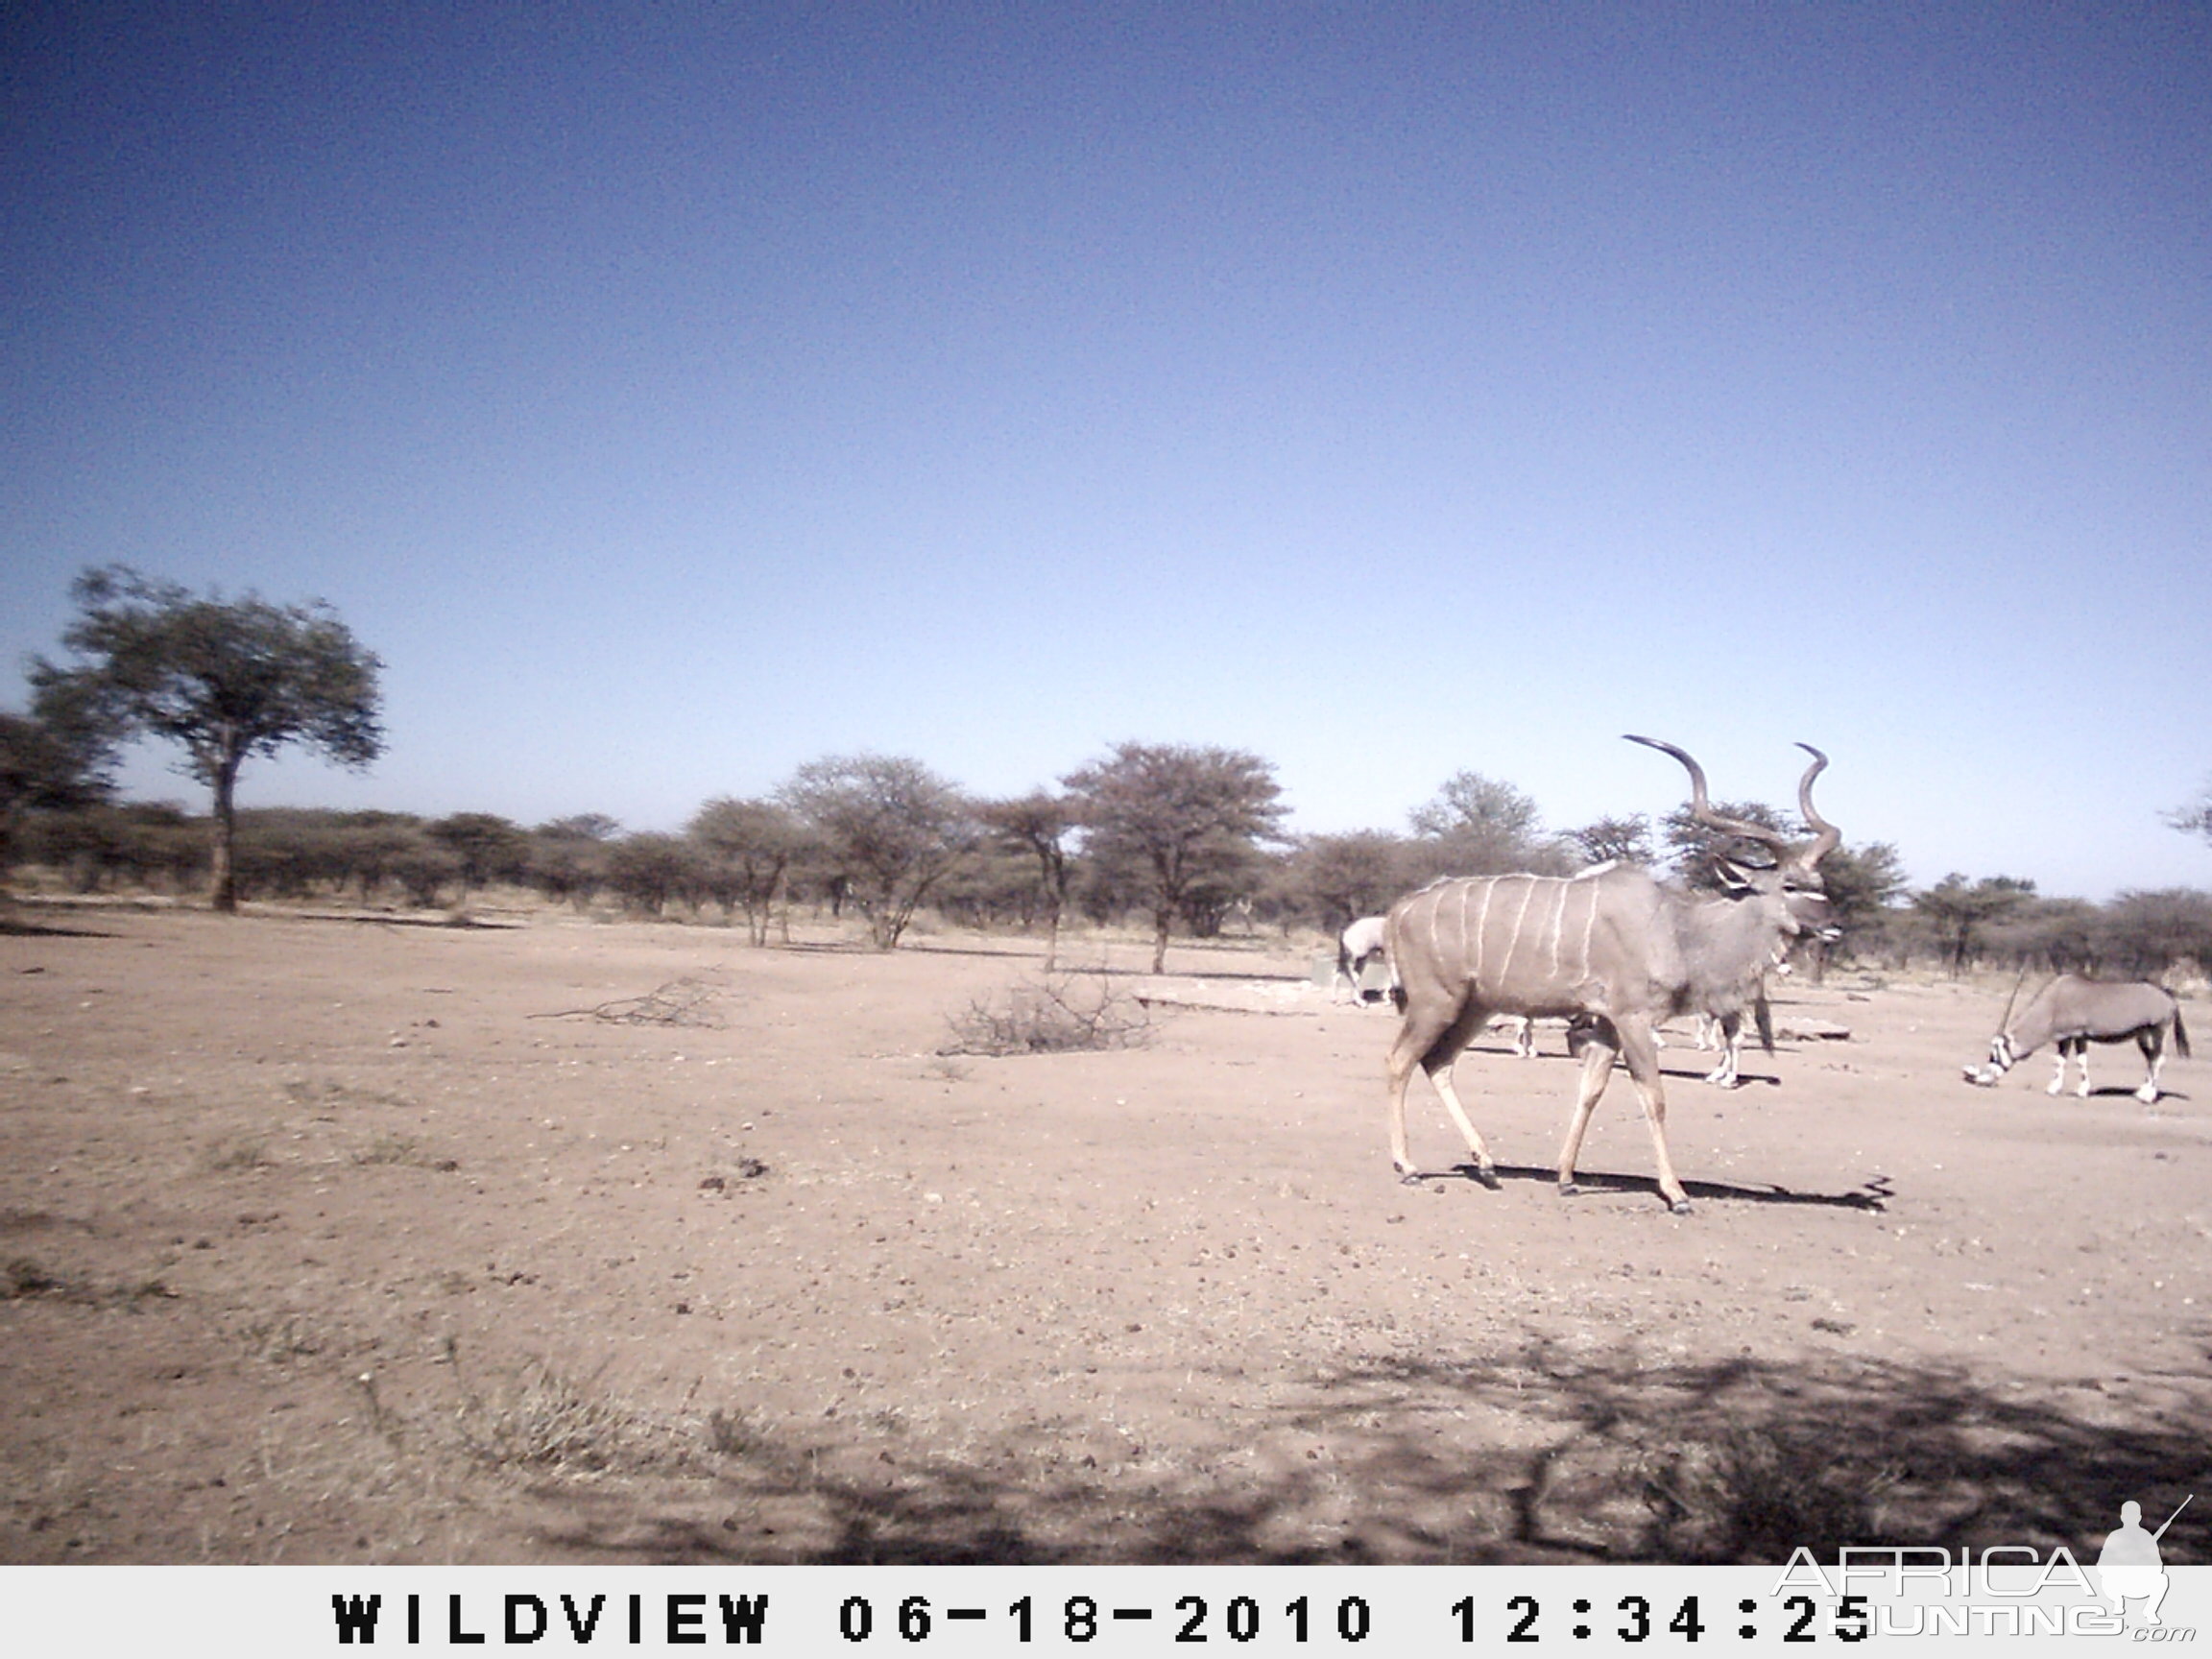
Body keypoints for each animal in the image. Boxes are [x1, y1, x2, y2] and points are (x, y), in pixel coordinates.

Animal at [1380, 738, 1831, 1220]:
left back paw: (1486, 1165)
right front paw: (1676, 1193)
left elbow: (1590, 1090)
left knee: (1438, 1062)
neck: (1678, 927)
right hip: (1436, 1002)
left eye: (1820, 882)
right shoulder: (1633, 1019)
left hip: (1475, 1008)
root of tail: (1400, 910)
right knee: (1400, 1061)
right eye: (1789, 885)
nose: (1832, 926)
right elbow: (1654, 1097)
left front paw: (1566, 1178)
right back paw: (1408, 1166)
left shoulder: (1608, 1025)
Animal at [1963, 973, 2185, 1106]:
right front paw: (2061, 1088)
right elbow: (2067, 1060)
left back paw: (2148, 1096)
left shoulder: (2074, 1034)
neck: (2053, 1004)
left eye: (1994, 1054)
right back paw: (2141, 1091)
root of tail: (2168, 997)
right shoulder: (2074, 1037)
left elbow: (2074, 1061)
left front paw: (2073, 1090)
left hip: (2157, 1030)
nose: (1982, 1079)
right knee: (2151, 1058)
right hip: (2142, 1034)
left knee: (2158, 1058)